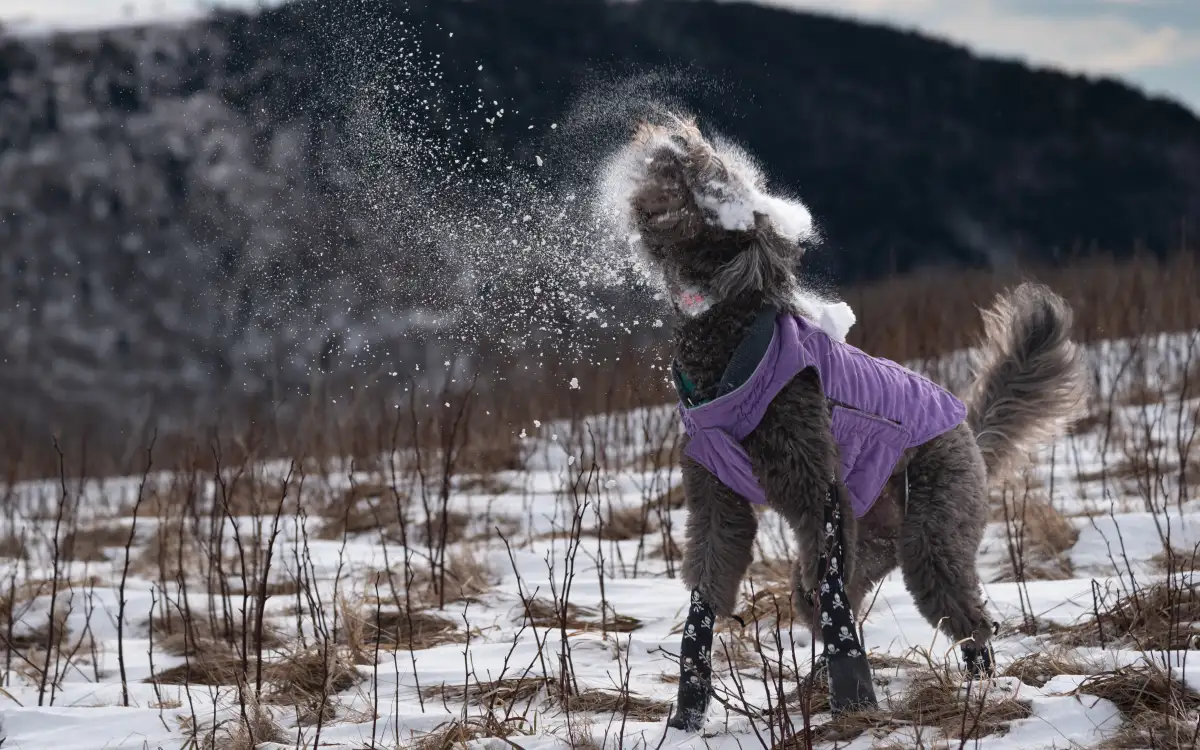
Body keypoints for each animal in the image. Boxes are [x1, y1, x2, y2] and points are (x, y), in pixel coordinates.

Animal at [614, 114, 1094, 729]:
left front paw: (855, 707)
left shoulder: (817, 490)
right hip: (868, 547)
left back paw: (977, 690)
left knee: (965, 621)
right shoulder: (718, 500)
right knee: (835, 605)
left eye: (712, 185)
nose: (672, 139)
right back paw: (818, 689)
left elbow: (835, 608)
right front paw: (686, 714)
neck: (731, 349)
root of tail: (967, 430)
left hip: (933, 534)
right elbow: (709, 595)